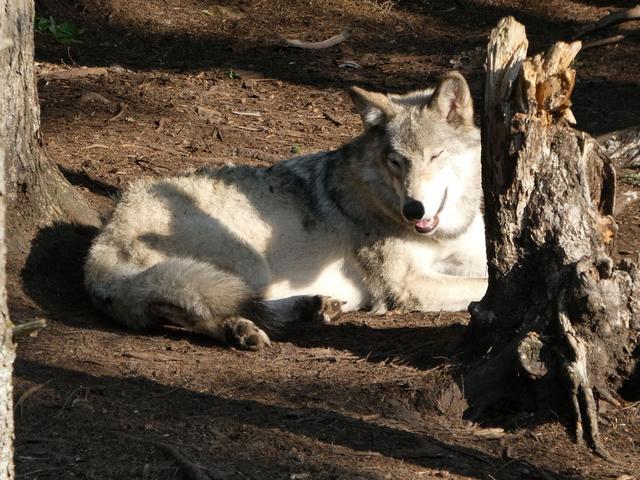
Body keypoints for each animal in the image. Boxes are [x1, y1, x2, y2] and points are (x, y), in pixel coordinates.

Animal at [84, 70, 484, 348]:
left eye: (436, 156)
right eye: (396, 162)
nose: (413, 209)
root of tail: (99, 246)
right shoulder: (405, 284)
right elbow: (479, 288)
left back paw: (309, 309)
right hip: (247, 261)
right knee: (205, 304)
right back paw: (241, 330)